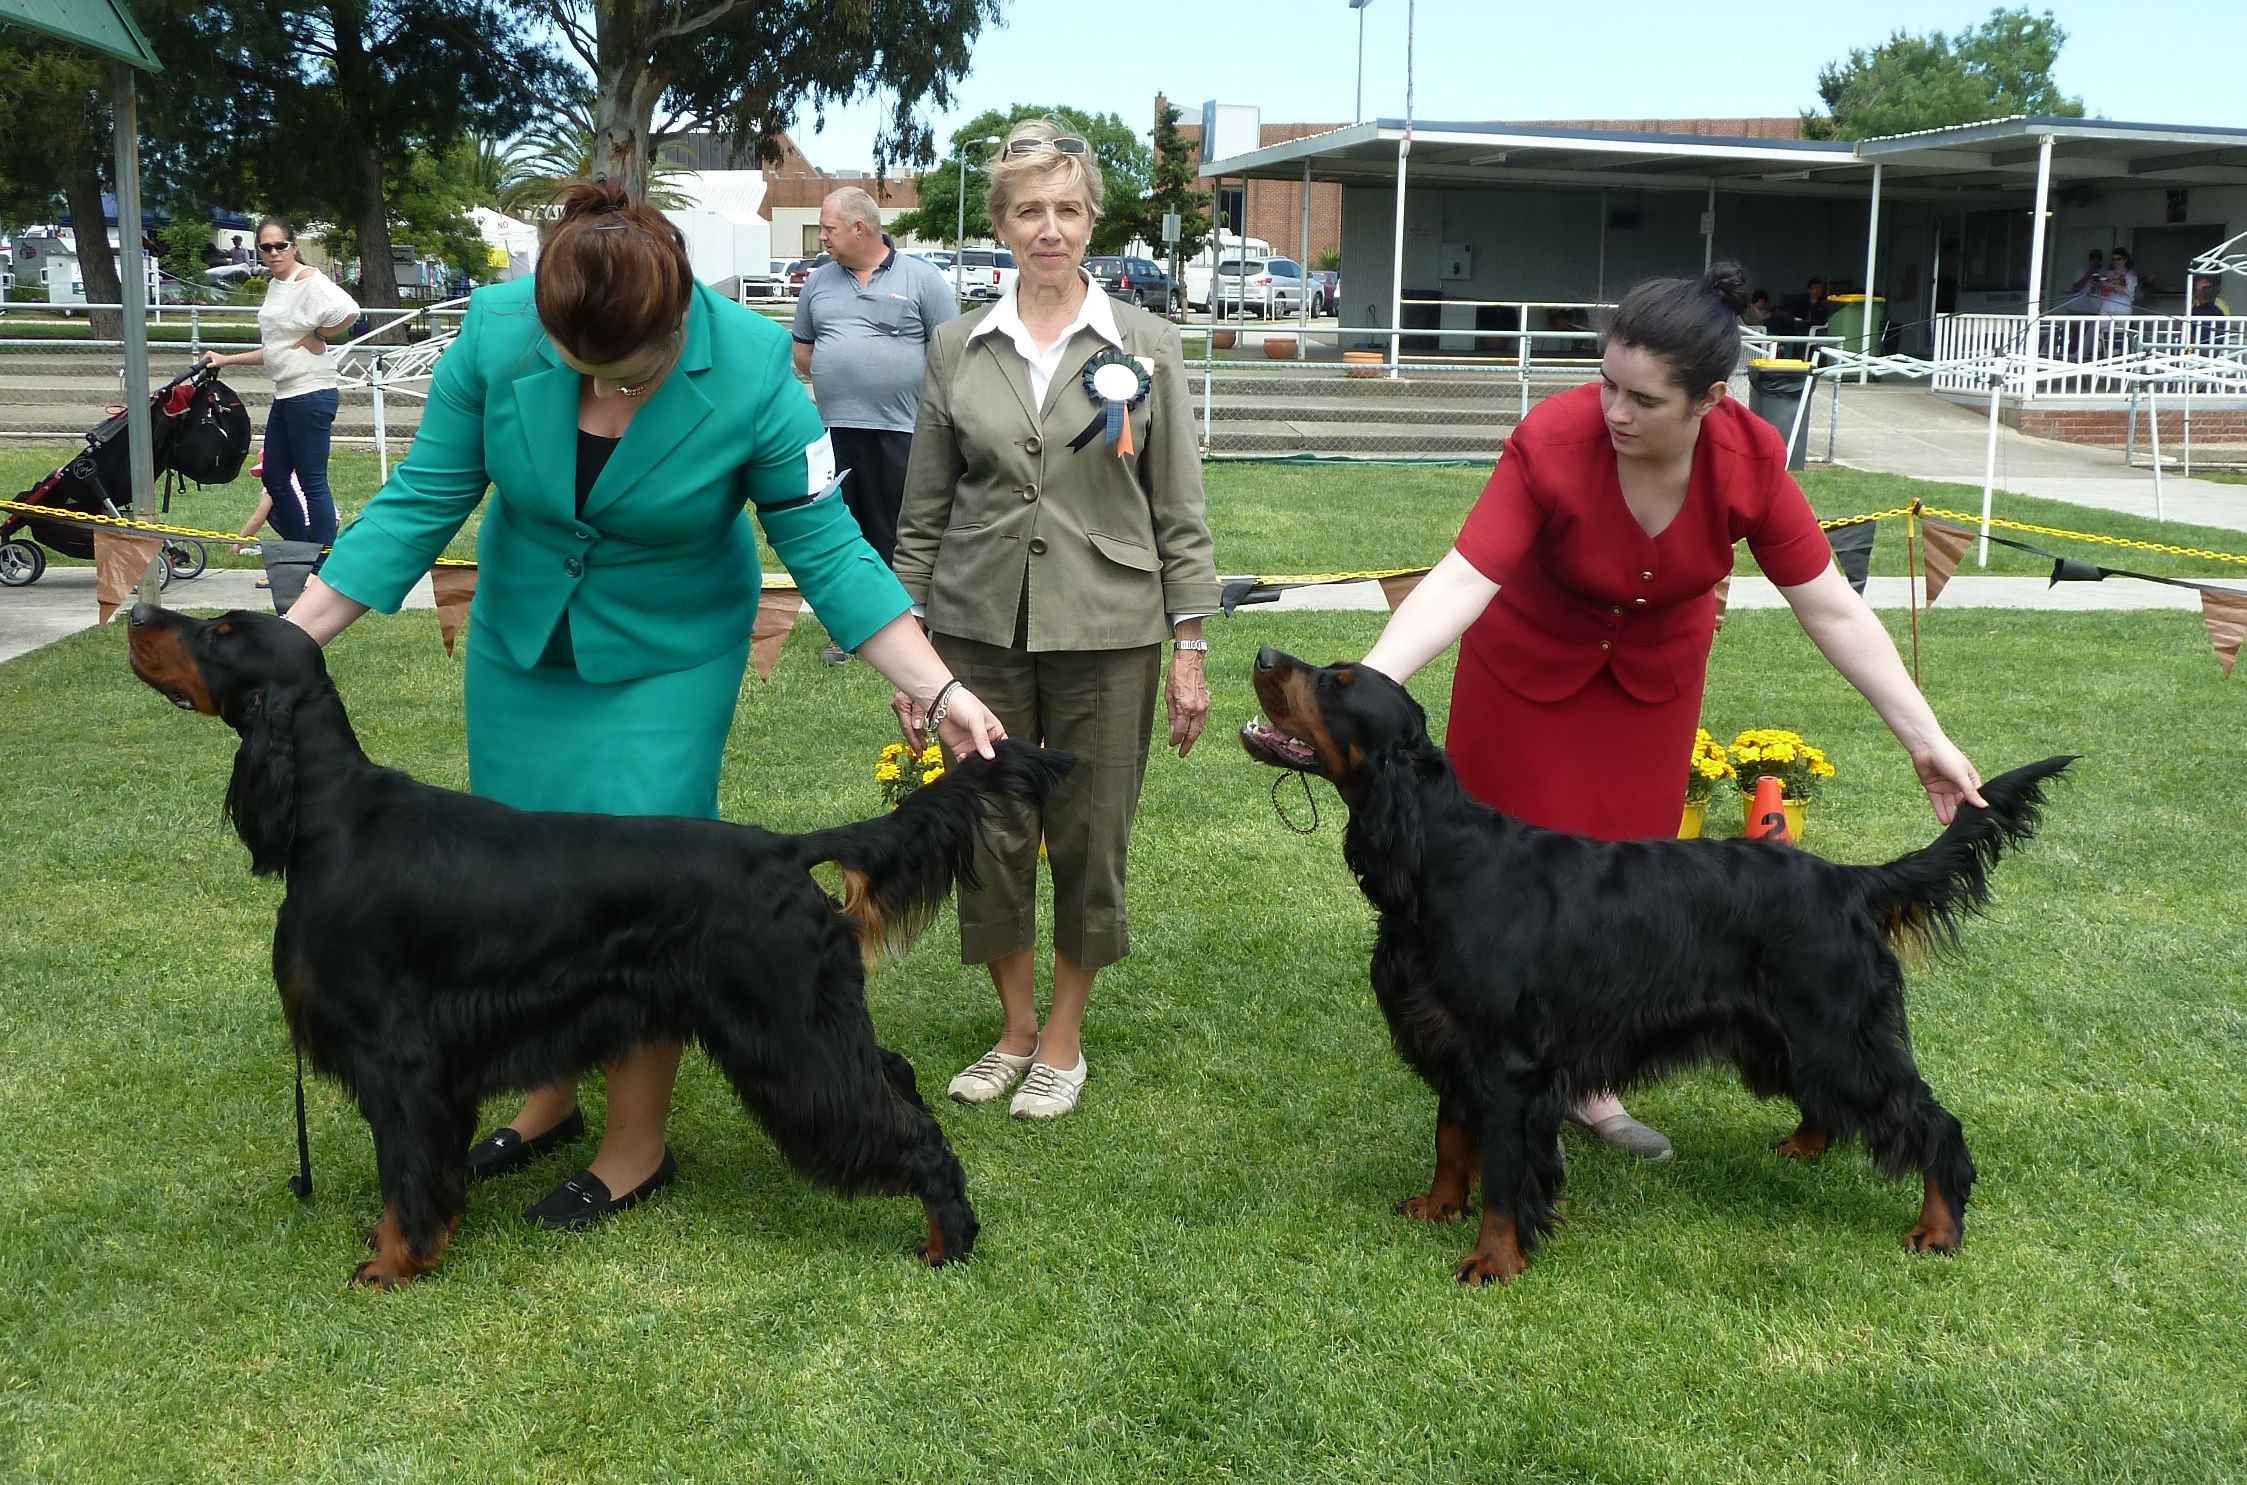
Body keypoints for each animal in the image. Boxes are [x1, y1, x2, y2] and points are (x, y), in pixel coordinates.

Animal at [127, 604, 1071, 1288]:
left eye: (219, 633)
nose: (138, 608)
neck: (331, 813)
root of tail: (784, 848)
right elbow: (426, 1166)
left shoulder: (398, 1057)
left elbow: (403, 1171)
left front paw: (394, 1262)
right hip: (811, 1021)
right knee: (896, 1077)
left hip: (791, 1038)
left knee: (902, 1125)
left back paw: (948, 1239)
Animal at [1240, 646, 2071, 1285]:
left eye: (1339, 681)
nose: (1263, 652)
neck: (1436, 854)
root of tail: (1847, 881)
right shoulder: (1452, 1038)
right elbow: (1451, 1137)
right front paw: (1438, 1205)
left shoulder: (1507, 1062)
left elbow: (1504, 1171)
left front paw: (1492, 1258)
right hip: (1792, 1038)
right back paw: (1802, 1147)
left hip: (1837, 1033)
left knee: (1933, 1122)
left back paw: (1937, 1228)